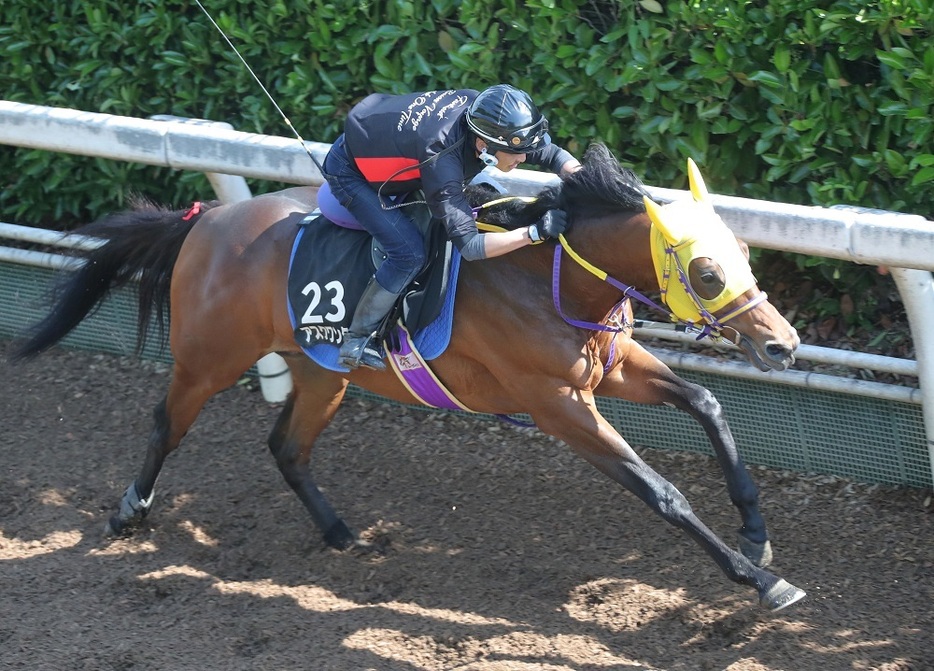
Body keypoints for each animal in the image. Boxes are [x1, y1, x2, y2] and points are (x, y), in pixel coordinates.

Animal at [11, 144, 808, 612]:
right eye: (707, 272)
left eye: (743, 252)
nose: (783, 344)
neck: (546, 274)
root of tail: (205, 221)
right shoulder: (556, 403)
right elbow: (662, 491)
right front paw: (762, 580)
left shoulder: (609, 371)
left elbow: (706, 401)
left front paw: (757, 534)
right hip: (210, 358)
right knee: (166, 423)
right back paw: (128, 510)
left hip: (321, 370)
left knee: (287, 446)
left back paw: (341, 533)